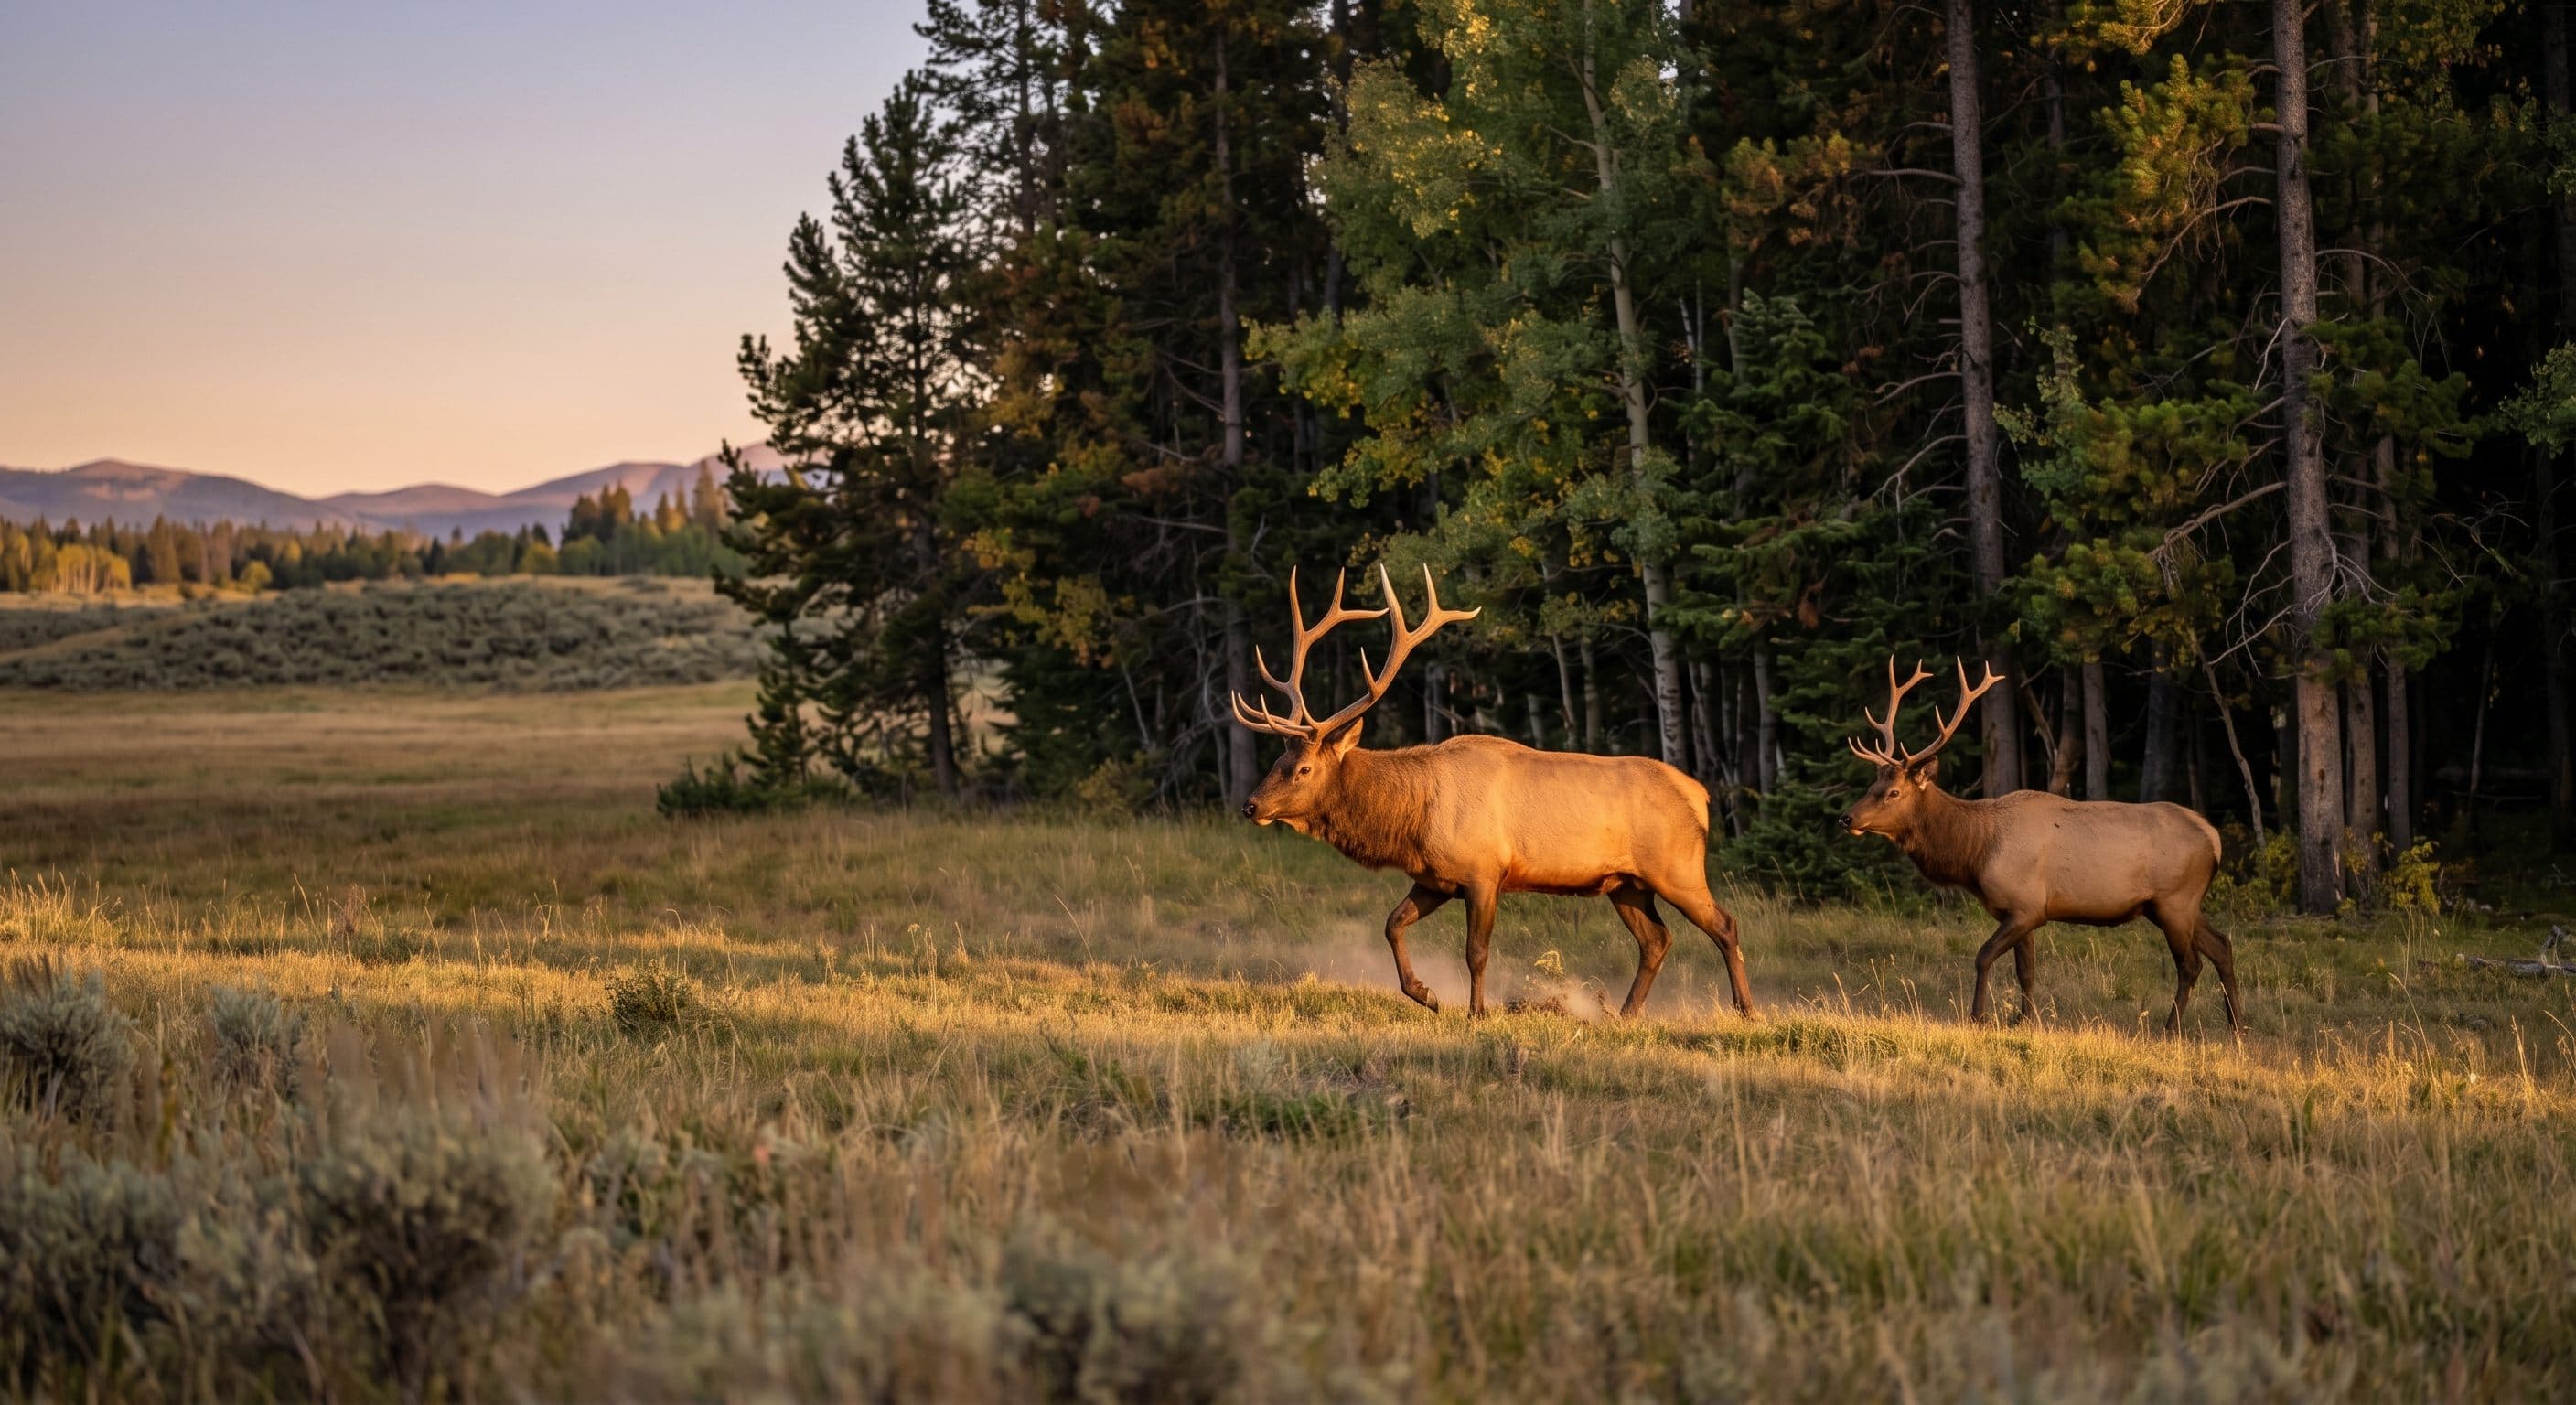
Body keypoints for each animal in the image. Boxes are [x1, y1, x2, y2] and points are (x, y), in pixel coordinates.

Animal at [1231, 565, 1757, 1020]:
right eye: (1276, 761)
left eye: (1302, 768)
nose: (1251, 805)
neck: (1413, 818)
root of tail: (1700, 796)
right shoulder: (1435, 877)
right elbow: (1392, 923)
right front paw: (1426, 994)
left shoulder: (1484, 872)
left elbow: (1476, 951)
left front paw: (1476, 1011)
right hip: (1626, 883)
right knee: (1656, 941)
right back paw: (1624, 1015)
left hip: (1677, 868)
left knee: (1725, 925)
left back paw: (1746, 1010)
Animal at [1838, 658, 2244, 1033]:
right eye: (1872, 786)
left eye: (1893, 792)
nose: (1847, 818)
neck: (1976, 853)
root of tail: (2213, 837)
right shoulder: (2020, 909)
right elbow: (2026, 970)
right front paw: (2024, 1020)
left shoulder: (2026, 906)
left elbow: (1983, 956)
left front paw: (1978, 1016)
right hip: (2181, 905)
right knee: (2222, 945)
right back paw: (2238, 1025)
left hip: (2174, 901)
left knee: (2191, 965)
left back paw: (2171, 1028)